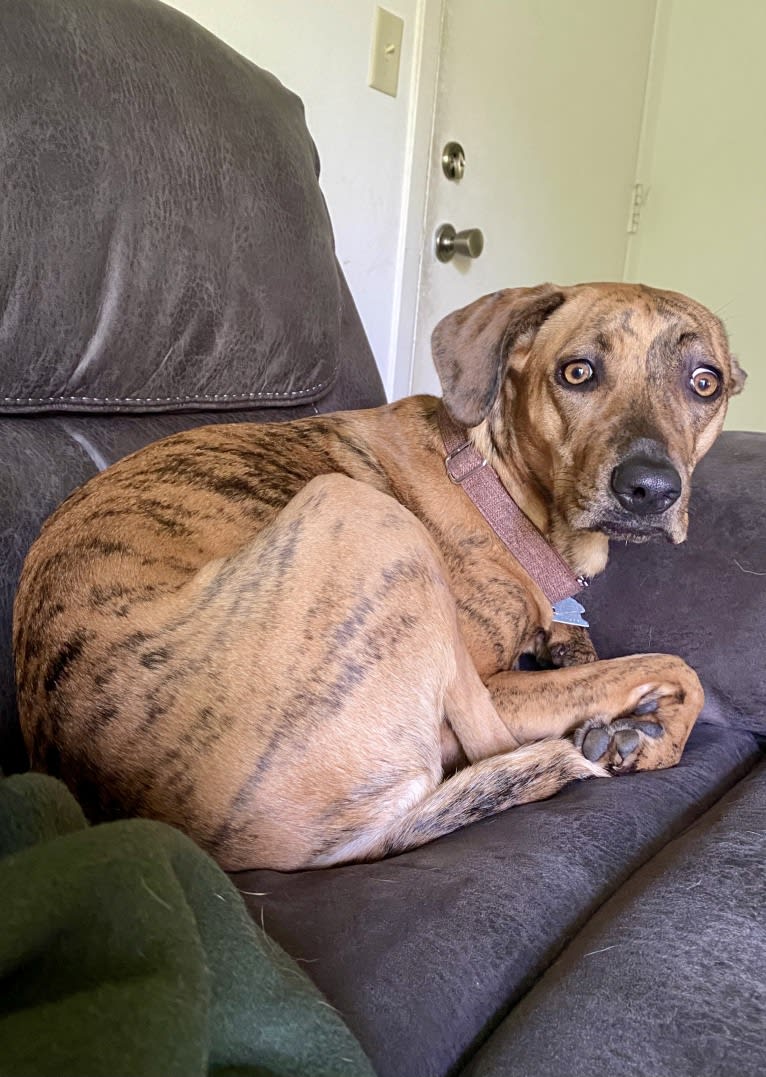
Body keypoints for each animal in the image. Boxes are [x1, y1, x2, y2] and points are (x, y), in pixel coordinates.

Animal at [11, 284, 745, 865]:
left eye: (704, 382)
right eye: (578, 372)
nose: (651, 489)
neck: (495, 485)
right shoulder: (496, 684)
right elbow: (680, 669)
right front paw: (646, 736)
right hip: (369, 514)